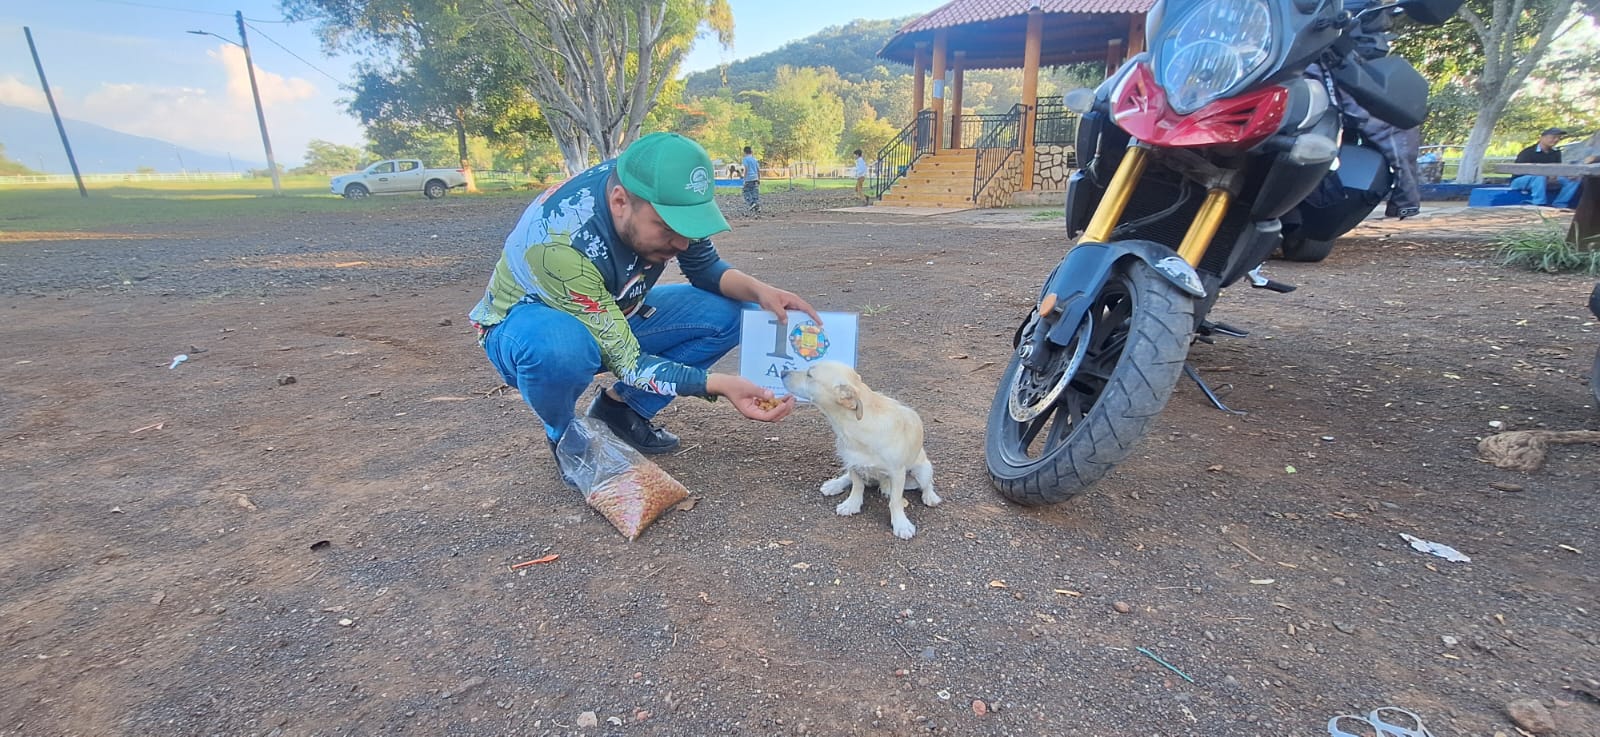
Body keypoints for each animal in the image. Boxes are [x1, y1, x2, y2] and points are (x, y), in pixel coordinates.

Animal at [777, 361, 934, 537]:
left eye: (809, 375)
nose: (782, 372)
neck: (852, 426)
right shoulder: (852, 463)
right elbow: (857, 486)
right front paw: (851, 504)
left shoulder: (898, 472)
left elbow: (895, 501)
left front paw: (901, 524)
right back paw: (835, 485)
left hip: (922, 471)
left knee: (927, 484)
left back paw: (930, 496)